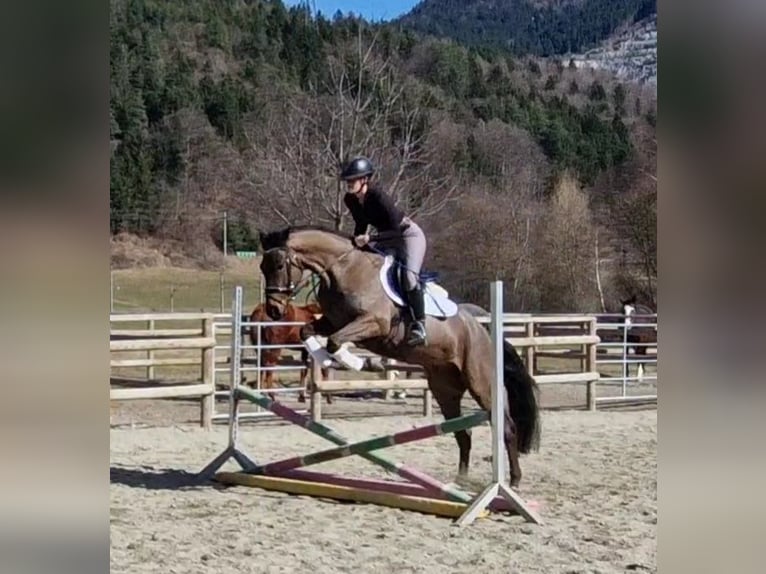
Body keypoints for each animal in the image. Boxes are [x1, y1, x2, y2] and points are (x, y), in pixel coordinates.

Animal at [258, 225, 540, 488]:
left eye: (280, 265)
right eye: (262, 267)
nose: (274, 311)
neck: (344, 268)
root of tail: (484, 332)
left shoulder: (373, 323)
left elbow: (335, 341)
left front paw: (365, 363)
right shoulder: (331, 322)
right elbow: (310, 332)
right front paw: (330, 360)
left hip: (482, 384)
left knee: (506, 428)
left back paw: (513, 481)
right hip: (445, 390)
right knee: (464, 433)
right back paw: (459, 480)